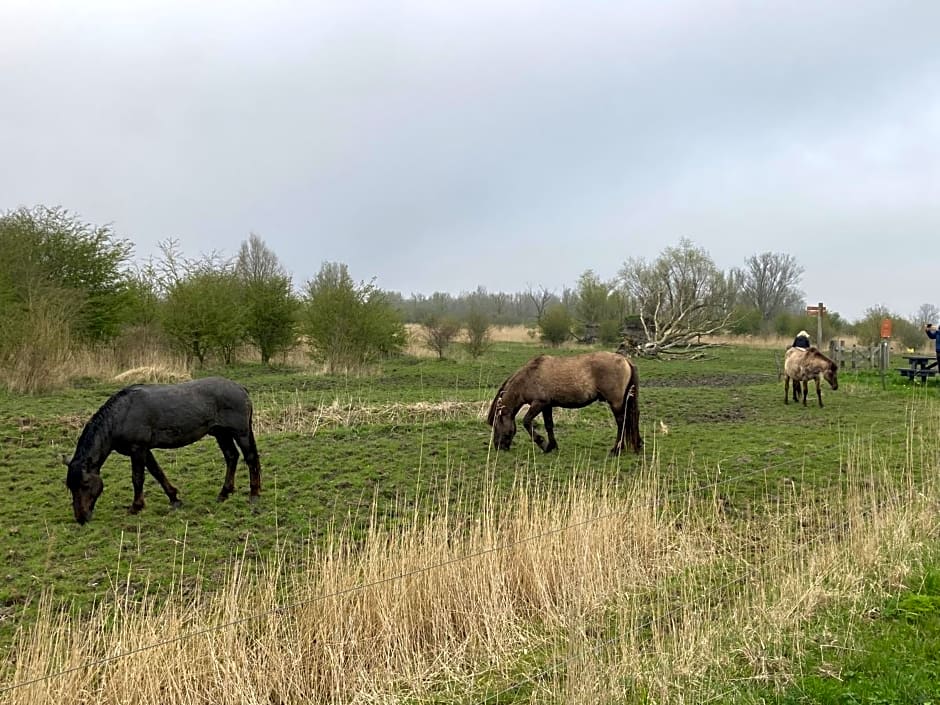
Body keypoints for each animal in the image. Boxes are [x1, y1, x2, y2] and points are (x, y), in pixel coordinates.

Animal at [63, 380, 260, 524]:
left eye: (85, 484)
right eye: (70, 486)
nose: (81, 518)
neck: (122, 415)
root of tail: (240, 388)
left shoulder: (137, 449)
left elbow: (138, 478)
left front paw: (136, 507)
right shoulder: (144, 450)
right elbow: (157, 473)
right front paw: (174, 499)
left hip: (240, 433)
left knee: (250, 459)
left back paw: (254, 494)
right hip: (221, 433)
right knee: (231, 457)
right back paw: (224, 493)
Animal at [488, 352, 644, 456]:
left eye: (496, 423)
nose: (498, 446)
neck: (530, 376)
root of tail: (625, 360)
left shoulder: (538, 403)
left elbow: (526, 422)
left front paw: (542, 443)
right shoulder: (547, 406)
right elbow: (549, 425)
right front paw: (551, 446)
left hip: (616, 402)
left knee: (621, 422)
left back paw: (616, 450)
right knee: (632, 417)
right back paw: (637, 445)